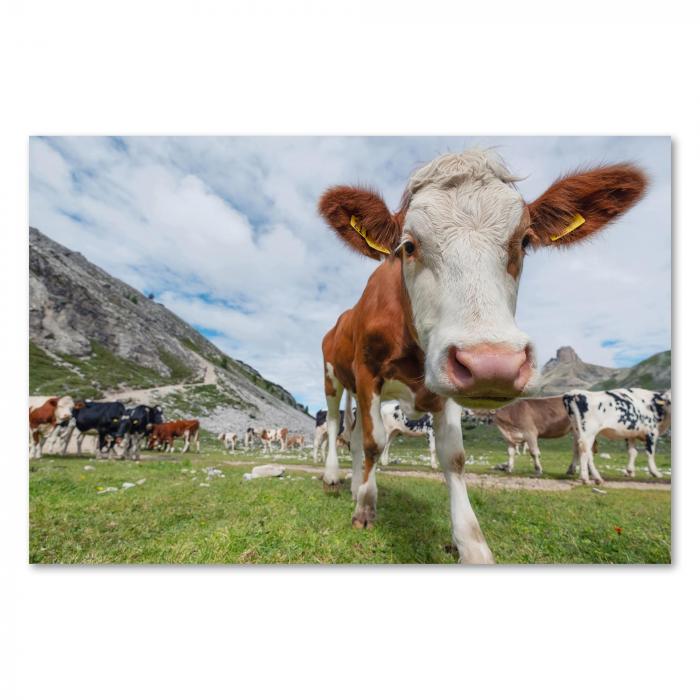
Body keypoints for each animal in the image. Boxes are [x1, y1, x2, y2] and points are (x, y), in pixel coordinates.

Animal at [318, 148, 644, 564]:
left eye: (524, 241)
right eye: (408, 245)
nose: (493, 364)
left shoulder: (446, 388)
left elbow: (454, 457)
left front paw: (472, 545)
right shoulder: (367, 372)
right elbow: (376, 444)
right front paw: (365, 509)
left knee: (356, 434)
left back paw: (354, 484)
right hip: (334, 379)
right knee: (335, 426)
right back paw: (335, 478)